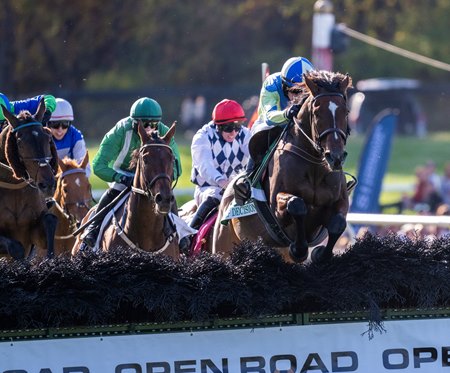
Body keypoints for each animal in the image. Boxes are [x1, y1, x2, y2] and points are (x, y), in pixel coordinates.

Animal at [0, 99, 59, 258]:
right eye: (20, 142)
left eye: (48, 138)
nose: (47, 184)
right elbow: (16, 248)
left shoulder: (32, 234)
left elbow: (50, 221)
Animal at [213, 69, 354, 262]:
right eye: (317, 112)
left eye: (346, 111)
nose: (335, 157)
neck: (315, 166)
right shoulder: (277, 209)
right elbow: (296, 205)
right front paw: (299, 249)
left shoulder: (339, 203)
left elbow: (338, 224)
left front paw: (319, 254)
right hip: (223, 245)